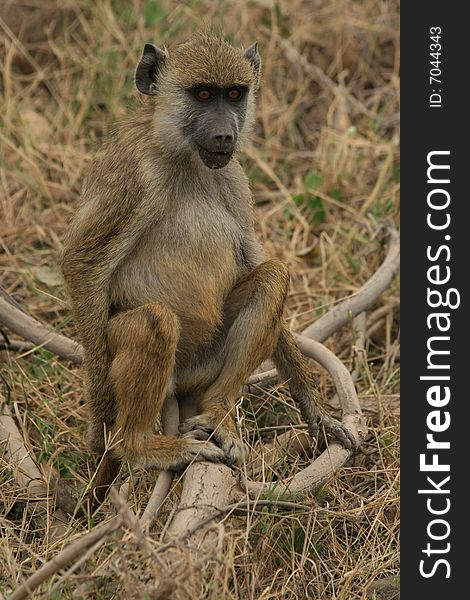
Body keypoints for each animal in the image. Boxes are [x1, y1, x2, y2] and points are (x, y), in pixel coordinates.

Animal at [62, 32, 356, 502]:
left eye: (234, 94)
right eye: (202, 94)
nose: (224, 133)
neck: (183, 157)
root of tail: (183, 383)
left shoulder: (234, 177)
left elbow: (254, 261)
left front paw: (317, 413)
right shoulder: (133, 174)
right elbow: (82, 262)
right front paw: (100, 424)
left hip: (206, 363)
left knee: (273, 278)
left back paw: (218, 414)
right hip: (137, 352)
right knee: (154, 322)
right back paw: (138, 445)